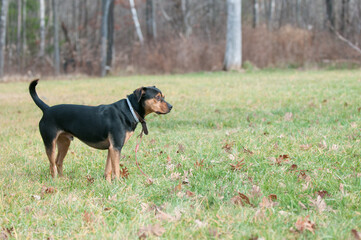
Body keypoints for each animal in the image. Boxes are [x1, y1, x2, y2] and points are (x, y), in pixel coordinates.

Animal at [28, 79, 172, 183]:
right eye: (158, 97)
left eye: (163, 96)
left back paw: (63, 179)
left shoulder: (111, 148)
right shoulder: (116, 147)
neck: (130, 109)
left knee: (58, 162)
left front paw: (107, 184)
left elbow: (108, 170)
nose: (171, 106)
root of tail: (47, 109)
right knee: (52, 165)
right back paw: (55, 182)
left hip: (64, 143)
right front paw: (119, 184)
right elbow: (116, 170)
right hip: (50, 143)